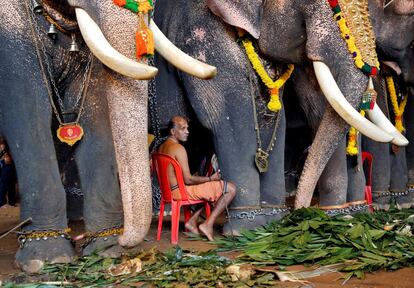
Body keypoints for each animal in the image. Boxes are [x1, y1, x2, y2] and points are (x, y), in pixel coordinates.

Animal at [152, 0, 414, 234]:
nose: (302, 211)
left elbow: (282, 118)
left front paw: (275, 221)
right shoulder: (201, 34)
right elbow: (234, 121)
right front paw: (248, 228)